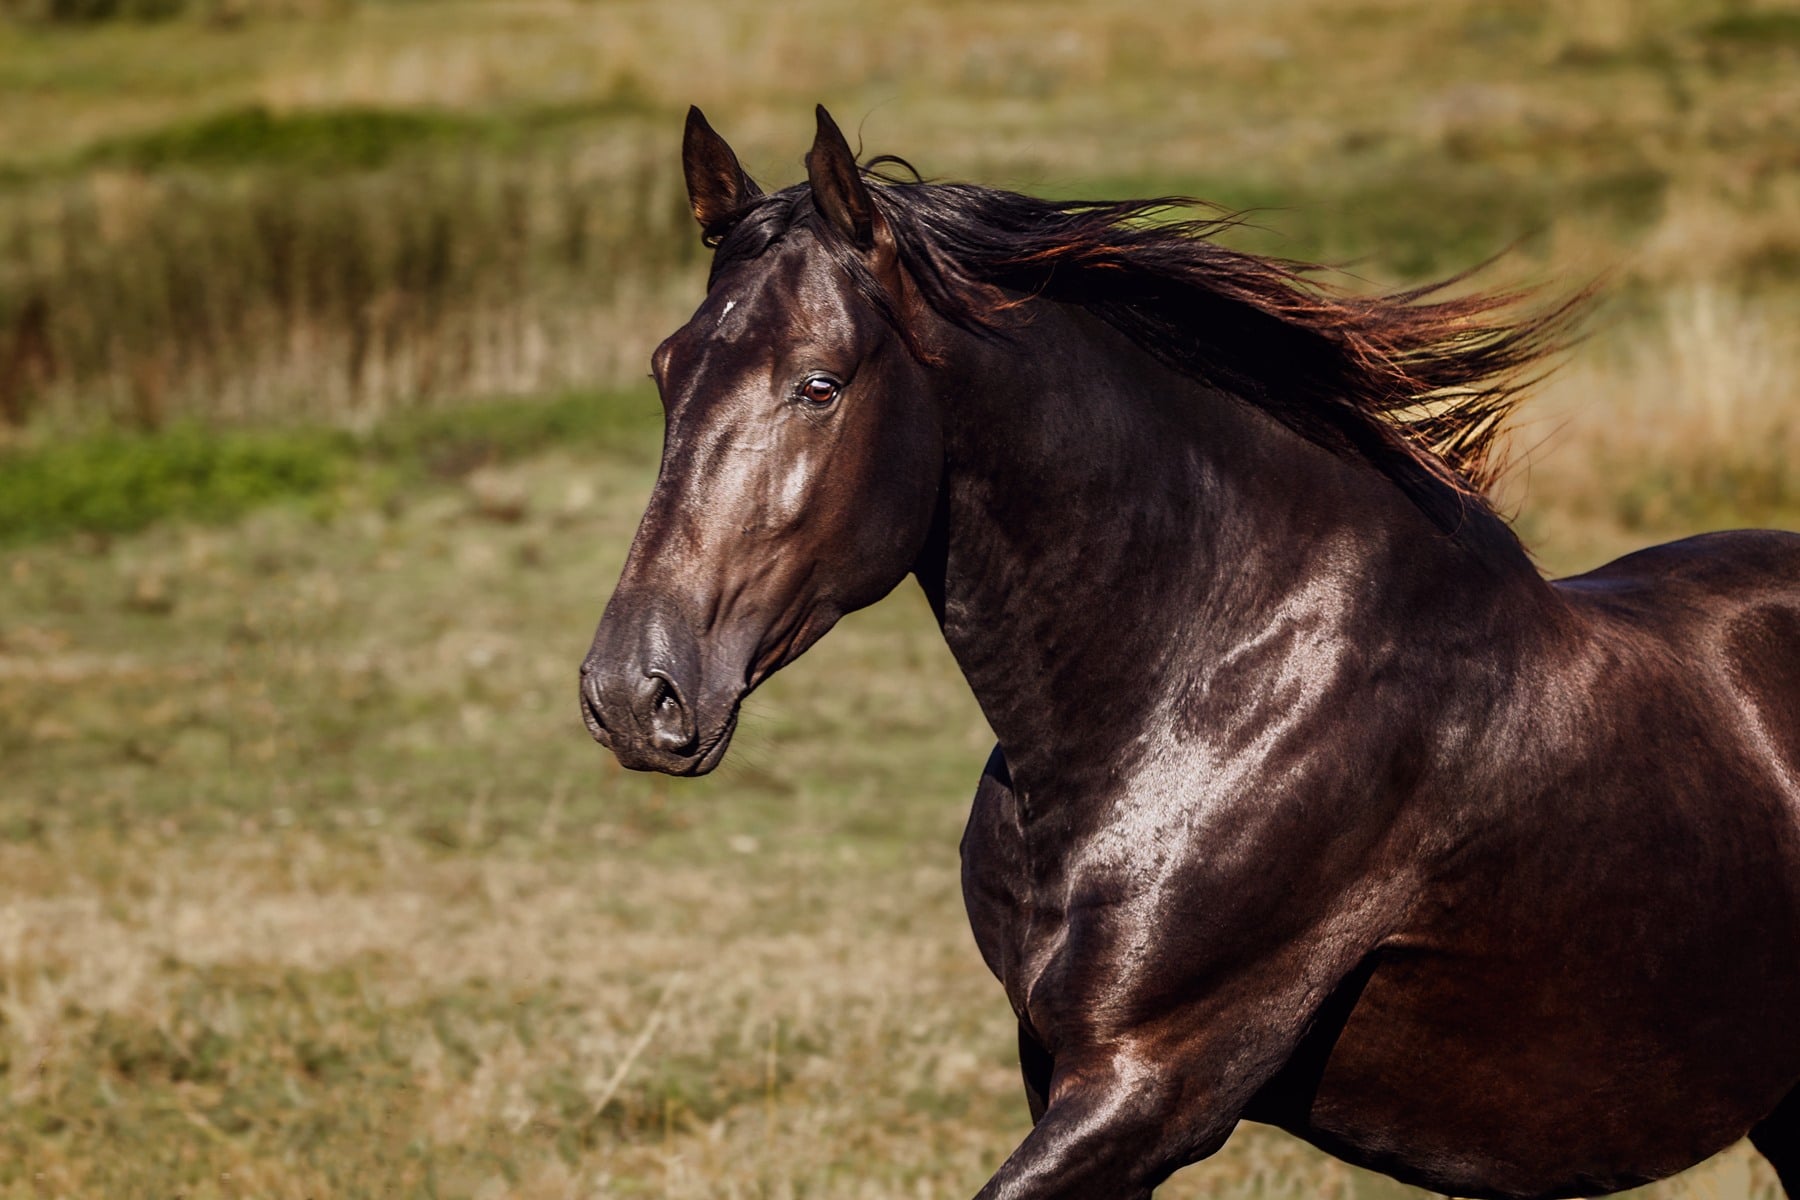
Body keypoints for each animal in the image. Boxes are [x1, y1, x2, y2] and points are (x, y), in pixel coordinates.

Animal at [578, 105, 1800, 1200]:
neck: (1207, 680)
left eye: (821, 384)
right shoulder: (1061, 1070)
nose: (636, 693)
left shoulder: (1152, 1088)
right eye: (666, 370)